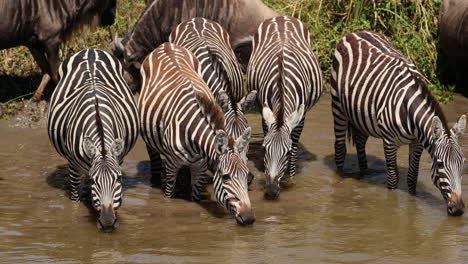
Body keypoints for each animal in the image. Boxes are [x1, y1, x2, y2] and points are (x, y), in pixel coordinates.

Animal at [47, 48, 139, 230]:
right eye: (94, 180)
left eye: (118, 178)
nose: (108, 223)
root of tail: (90, 49)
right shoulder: (74, 166)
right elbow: (74, 201)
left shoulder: (119, 159)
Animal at [139, 41, 256, 225]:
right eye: (225, 177)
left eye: (244, 175)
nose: (249, 218)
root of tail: (167, 45)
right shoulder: (172, 165)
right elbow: (168, 197)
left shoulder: (200, 167)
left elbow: (195, 198)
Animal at [247, 15, 324, 199]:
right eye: (264, 148)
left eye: (287, 152)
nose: (271, 191)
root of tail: (282, 17)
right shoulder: (265, 111)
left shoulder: (300, 115)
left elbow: (295, 144)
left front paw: (291, 179)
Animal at [330, 31, 466, 217]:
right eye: (440, 164)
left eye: (463, 163)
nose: (458, 209)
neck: (409, 109)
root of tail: (355, 33)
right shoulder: (389, 141)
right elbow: (393, 179)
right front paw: (392, 207)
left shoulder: (417, 143)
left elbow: (412, 177)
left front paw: (412, 202)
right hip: (338, 106)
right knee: (340, 148)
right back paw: (340, 178)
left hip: (361, 114)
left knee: (360, 142)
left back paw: (364, 174)